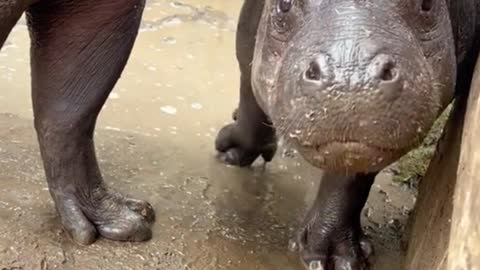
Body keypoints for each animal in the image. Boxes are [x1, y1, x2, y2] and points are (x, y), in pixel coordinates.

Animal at [217, 0, 480, 270]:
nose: (352, 77)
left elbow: (348, 178)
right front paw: (229, 154)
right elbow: (247, 55)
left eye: (427, 4)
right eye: (284, 4)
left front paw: (333, 258)